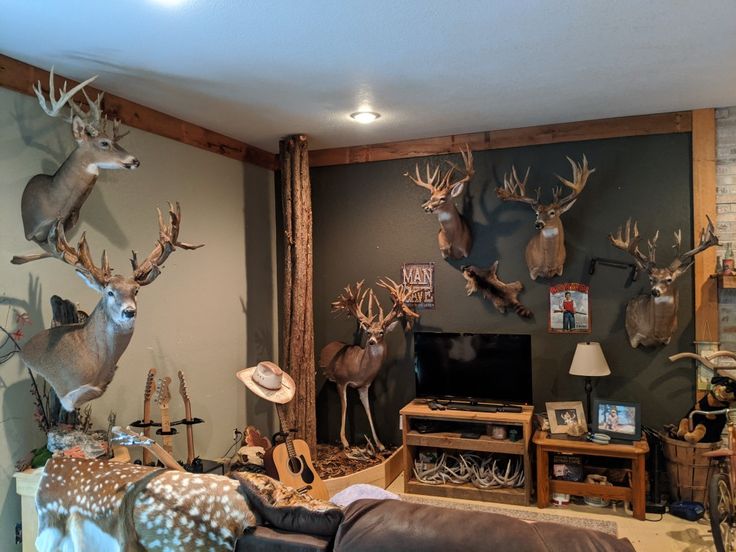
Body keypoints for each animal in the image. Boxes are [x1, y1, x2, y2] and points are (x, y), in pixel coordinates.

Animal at [318, 278, 416, 450]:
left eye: (381, 332)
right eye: (368, 332)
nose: (371, 342)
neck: (359, 369)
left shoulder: (364, 386)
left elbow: (368, 409)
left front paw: (380, 444)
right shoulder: (341, 381)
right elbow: (344, 406)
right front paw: (345, 442)